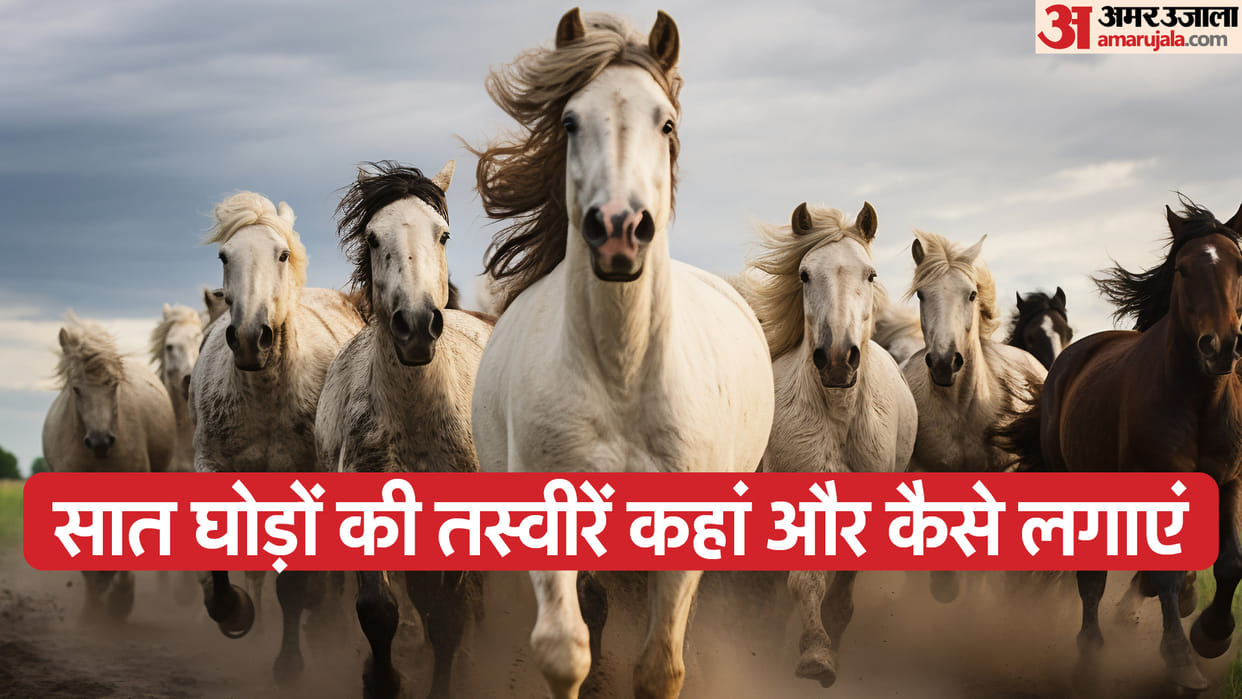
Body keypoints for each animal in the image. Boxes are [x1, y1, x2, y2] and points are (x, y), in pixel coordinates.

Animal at [189, 191, 364, 684]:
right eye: (224, 256)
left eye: (281, 254)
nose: (251, 338)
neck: (267, 393)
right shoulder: (214, 467)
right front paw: (232, 610)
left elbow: (294, 585)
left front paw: (289, 663)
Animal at [315, 160, 492, 698]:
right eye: (373, 237)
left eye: (443, 234)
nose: (415, 326)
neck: (414, 419)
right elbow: (378, 611)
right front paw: (381, 680)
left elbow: (446, 619)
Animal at [469, 10, 775, 698]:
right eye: (569, 120)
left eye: (666, 122)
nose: (617, 231)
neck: (623, 373)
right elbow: (566, 650)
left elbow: (661, 665)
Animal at [745, 201, 916, 688]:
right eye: (805, 274)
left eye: (870, 274)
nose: (838, 359)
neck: (839, 413)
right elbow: (805, 582)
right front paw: (816, 654)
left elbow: (841, 590)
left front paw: (831, 641)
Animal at [999, 200, 1242, 692]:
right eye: (1184, 269)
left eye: (1240, 265)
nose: (1220, 346)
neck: (1198, 401)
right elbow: (1163, 573)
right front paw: (1180, 659)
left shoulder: (1228, 482)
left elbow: (1229, 564)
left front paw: (1211, 636)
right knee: (1090, 578)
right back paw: (1089, 657)